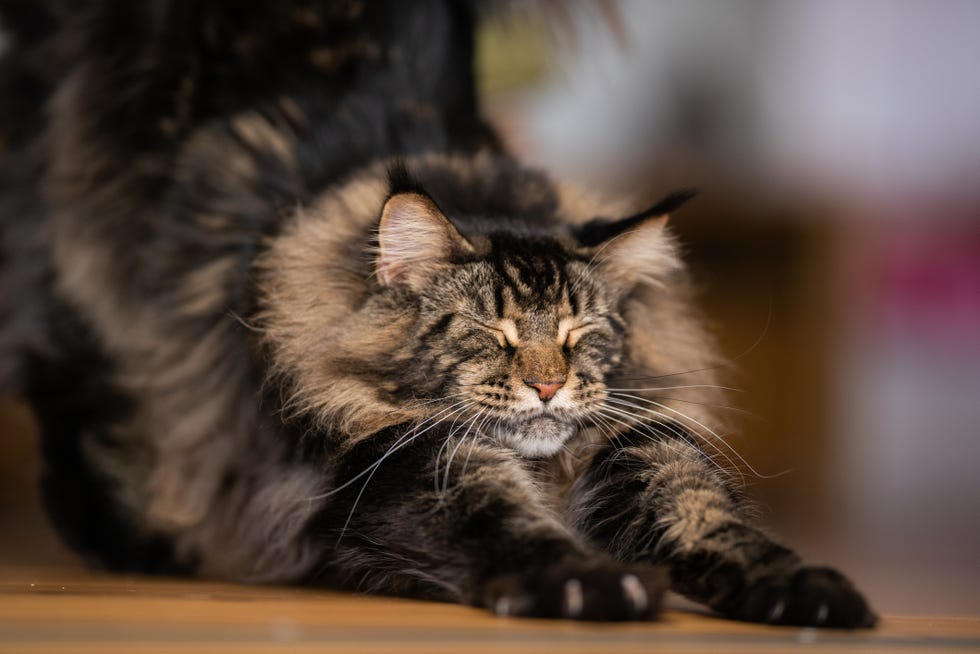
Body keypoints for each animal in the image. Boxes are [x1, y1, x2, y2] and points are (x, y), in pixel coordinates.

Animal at [0, 0, 872, 632]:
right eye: (492, 335)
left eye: (579, 337)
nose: (549, 388)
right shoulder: (406, 465)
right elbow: (503, 521)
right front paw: (588, 581)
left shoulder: (642, 444)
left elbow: (708, 515)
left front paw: (808, 591)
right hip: (80, 288)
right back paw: (137, 540)